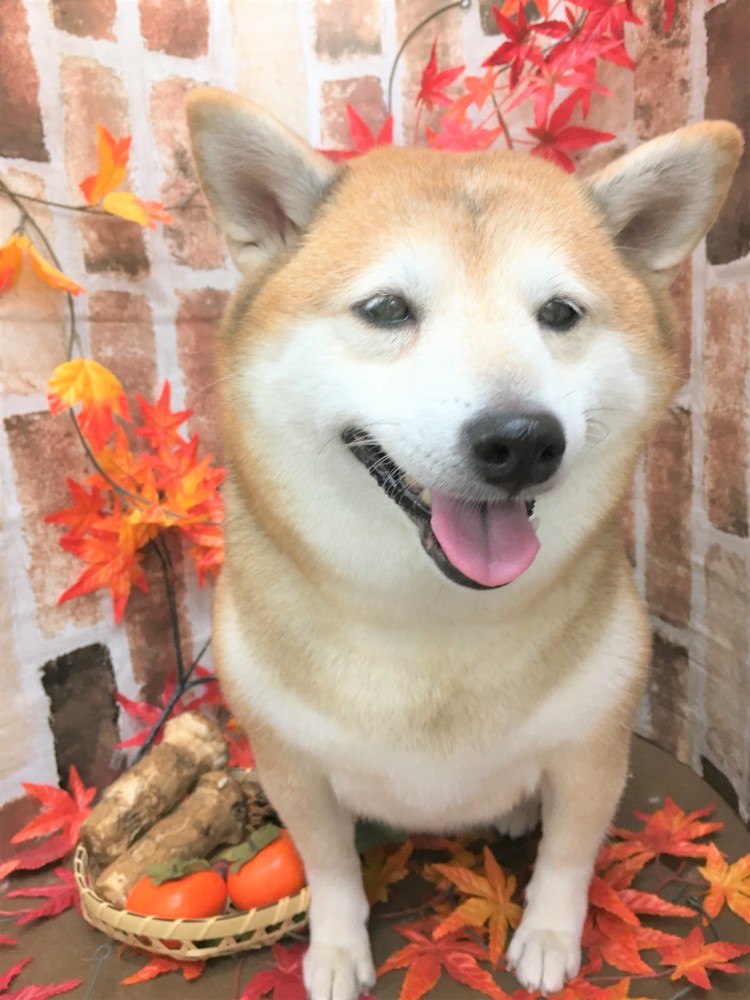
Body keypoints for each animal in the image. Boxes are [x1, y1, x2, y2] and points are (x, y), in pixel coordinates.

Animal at [186, 89, 741, 999]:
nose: (521, 440)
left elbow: (568, 859)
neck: (432, 623)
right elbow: (329, 866)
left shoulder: (592, 752)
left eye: (560, 314)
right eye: (386, 310)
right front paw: (335, 950)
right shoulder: (290, 763)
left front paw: (548, 937)